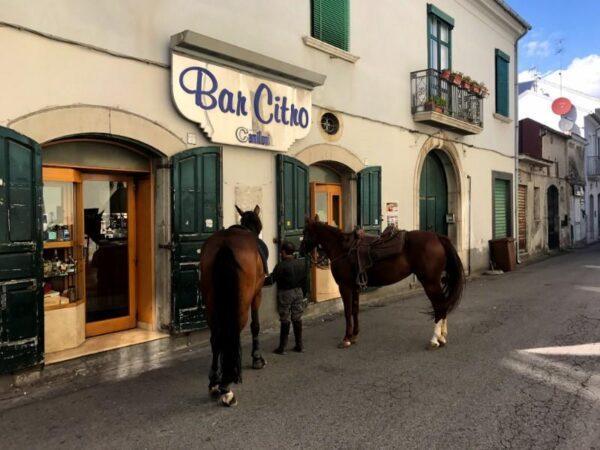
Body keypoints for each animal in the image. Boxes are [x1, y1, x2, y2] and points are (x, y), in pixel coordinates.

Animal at [200, 206, 266, 406]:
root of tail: (225, 245)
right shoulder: (257, 294)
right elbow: (255, 326)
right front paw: (257, 357)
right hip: (241, 304)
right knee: (232, 332)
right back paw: (226, 386)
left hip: (211, 304)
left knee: (216, 338)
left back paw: (215, 381)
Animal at [300, 216, 464, 350]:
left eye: (306, 232)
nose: (300, 251)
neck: (343, 249)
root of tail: (437, 237)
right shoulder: (355, 287)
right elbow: (355, 310)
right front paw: (354, 336)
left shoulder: (345, 287)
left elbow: (347, 312)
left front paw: (346, 339)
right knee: (442, 305)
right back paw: (442, 337)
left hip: (430, 283)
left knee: (439, 306)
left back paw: (435, 339)